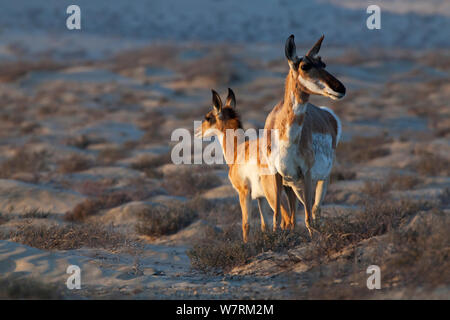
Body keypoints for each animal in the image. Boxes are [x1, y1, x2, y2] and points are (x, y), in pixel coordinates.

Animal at [195, 88, 294, 242]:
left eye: (208, 117)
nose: (197, 132)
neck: (239, 150)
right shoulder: (260, 198)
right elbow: (264, 225)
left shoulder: (244, 193)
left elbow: (246, 224)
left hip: (273, 194)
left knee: (286, 219)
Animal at [266, 34, 346, 235]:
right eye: (305, 66)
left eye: (323, 63)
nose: (340, 88)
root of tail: (328, 114)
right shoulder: (278, 176)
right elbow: (277, 218)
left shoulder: (307, 174)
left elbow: (309, 219)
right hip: (294, 187)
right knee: (299, 216)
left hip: (321, 180)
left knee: (316, 211)